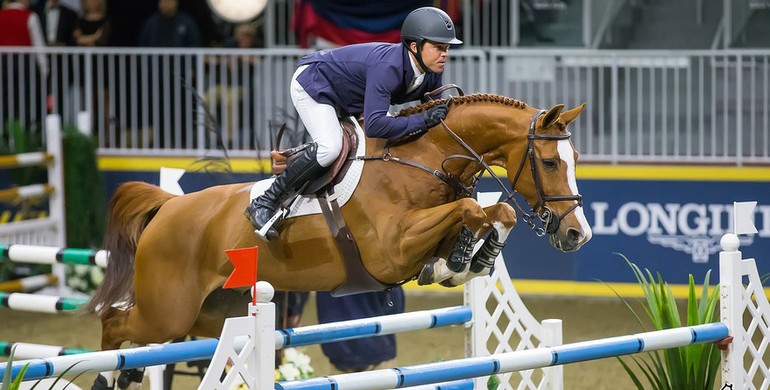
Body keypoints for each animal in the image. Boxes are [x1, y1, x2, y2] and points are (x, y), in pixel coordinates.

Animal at [84, 93, 592, 386]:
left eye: (576, 157)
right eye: (550, 162)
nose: (577, 234)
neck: (426, 158)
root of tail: (169, 206)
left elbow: (495, 211)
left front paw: (467, 259)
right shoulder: (390, 250)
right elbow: (469, 211)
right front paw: (459, 261)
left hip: (212, 316)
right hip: (168, 310)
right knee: (114, 323)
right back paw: (108, 376)